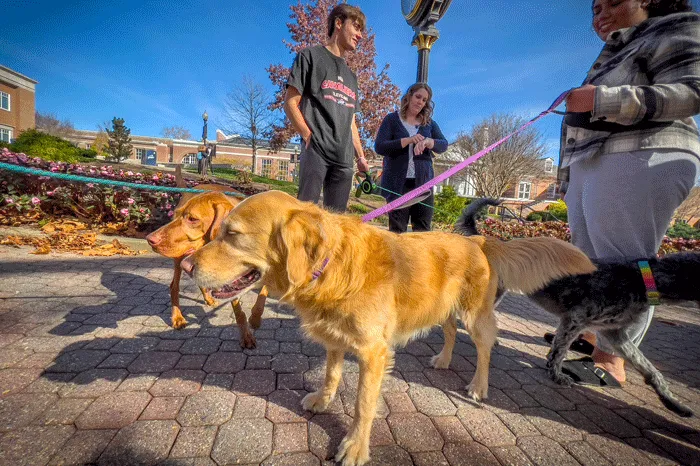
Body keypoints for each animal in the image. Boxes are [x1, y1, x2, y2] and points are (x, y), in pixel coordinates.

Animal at [146, 188, 266, 346]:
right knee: (174, 286)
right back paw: (177, 317)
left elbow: (261, 297)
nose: (149, 239)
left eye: (192, 219)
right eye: (179, 214)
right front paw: (246, 333)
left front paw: (255, 319)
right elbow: (239, 311)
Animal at [178, 191, 592, 464]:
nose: (185, 266)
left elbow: (363, 405)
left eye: (232, 234)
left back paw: (478, 385)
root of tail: (476, 239)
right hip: (441, 309)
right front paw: (323, 400)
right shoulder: (335, 340)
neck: (331, 267)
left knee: (485, 347)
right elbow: (330, 375)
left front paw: (355, 447)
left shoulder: (373, 353)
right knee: (449, 334)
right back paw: (443, 360)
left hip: (475, 315)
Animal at [452, 198, 696, 416]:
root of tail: (488, 240)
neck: (641, 278)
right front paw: (556, 375)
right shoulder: (575, 320)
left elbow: (648, 367)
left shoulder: (616, 334)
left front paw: (672, 401)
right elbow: (559, 351)